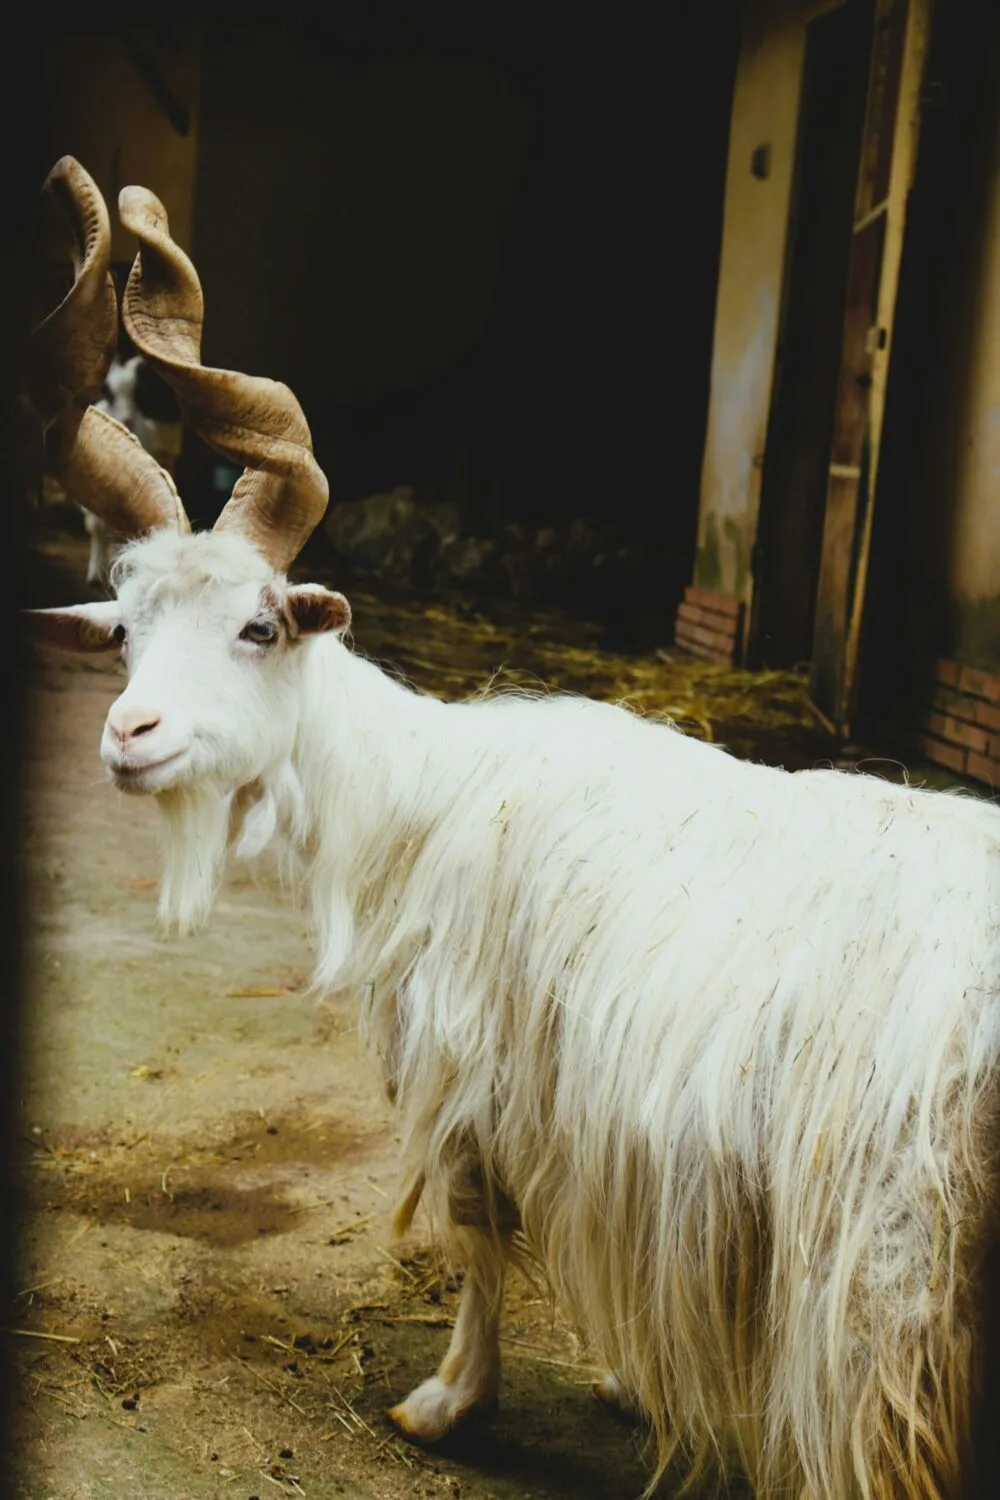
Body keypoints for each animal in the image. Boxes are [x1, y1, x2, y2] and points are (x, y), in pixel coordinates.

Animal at [23, 157, 1000, 1500]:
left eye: (261, 627)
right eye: (122, 630)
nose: (131, 737)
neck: (424, 791)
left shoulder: (477, 1076)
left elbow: (482, 1238)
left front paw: (446, 1404)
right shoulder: (604, 1129)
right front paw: (630, 1382)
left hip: (888, 1301)